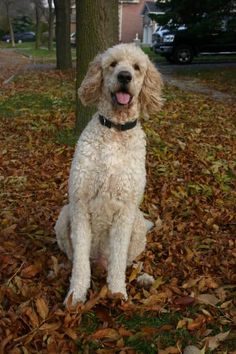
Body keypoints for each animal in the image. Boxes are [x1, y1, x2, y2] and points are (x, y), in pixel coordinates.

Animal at [55, 43, 162, 304]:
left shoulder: (125, 210)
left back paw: (141, 278)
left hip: (138, 225)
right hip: (64, 216)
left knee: (127, 262)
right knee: (74, 257)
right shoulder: (80, 204)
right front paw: (76, 294)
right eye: (112, 64)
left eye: (137, 67)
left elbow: (118, 261)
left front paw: (117, 292)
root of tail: (99, 263)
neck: (115, 131)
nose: (125, 76)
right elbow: (80, 262)